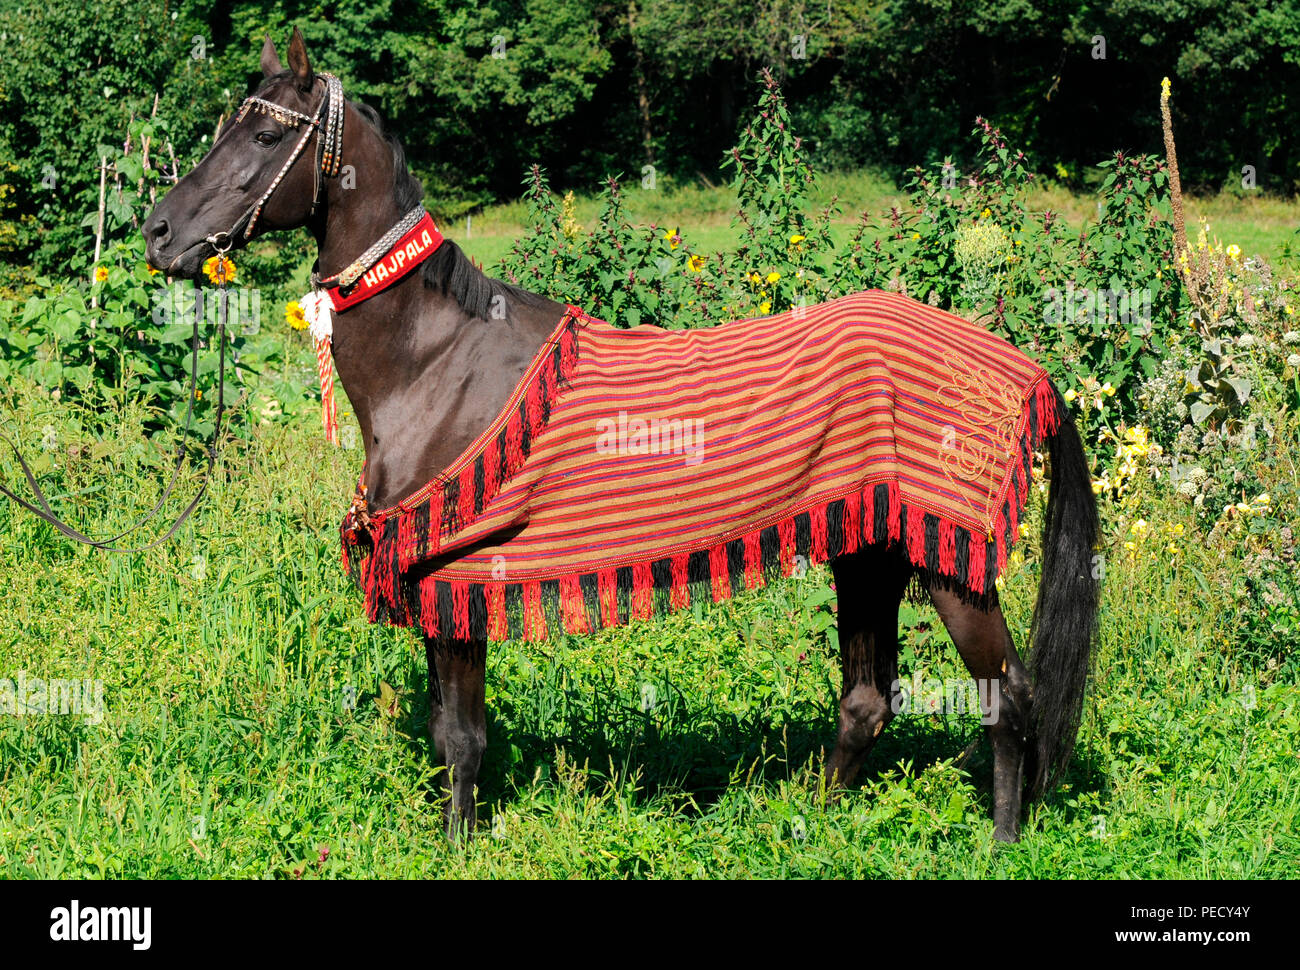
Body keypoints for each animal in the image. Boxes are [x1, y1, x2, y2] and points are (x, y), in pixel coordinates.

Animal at [142, 28, 1097, 837]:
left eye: (266, 136)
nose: (159, 232)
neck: (436, 358)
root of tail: (1023, 369)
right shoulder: (437, 581)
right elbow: (448, 728)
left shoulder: (459, 576)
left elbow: (463, 737)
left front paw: (457, 845)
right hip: (870, 549)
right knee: (867, 701)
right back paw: (815, 825)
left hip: (953, 564)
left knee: (1007, 698)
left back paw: (1001, 840)